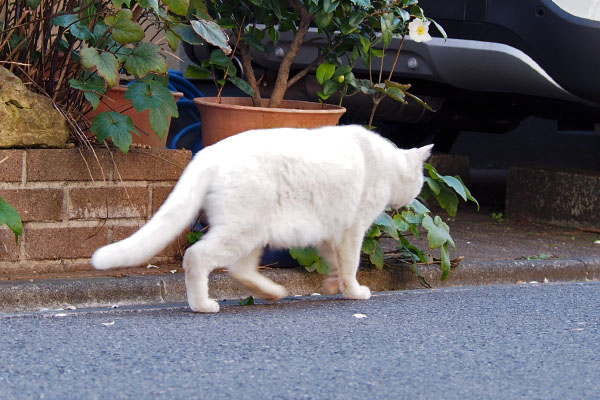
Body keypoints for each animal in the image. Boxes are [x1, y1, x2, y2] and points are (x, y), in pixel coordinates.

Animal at [91, 125, 432, 312]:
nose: (416, 197)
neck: (387, 162)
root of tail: (208, 152)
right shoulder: (352, 230)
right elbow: (350, 264)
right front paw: (354, 291)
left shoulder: (328, 232)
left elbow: (335, 262)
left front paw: (334, 285)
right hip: (242, 231)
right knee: (196, 257)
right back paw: (203, 305)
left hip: (254, 233)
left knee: (239, 269)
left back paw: (273, 292)